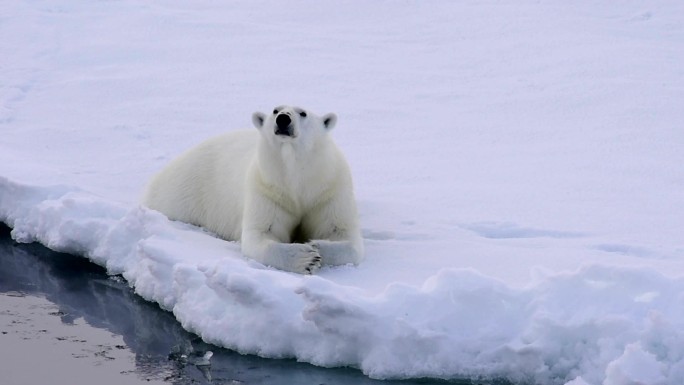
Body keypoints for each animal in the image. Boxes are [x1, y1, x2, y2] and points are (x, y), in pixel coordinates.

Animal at [144, 105, 364, 272]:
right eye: (275, 110)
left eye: (303, 113)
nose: (283, 119)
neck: (296, 181)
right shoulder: (268, 190)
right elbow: (261, 233)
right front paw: (307, 257)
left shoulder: (328, 191)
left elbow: (342, 234)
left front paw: (315, 246)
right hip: (183, 193)